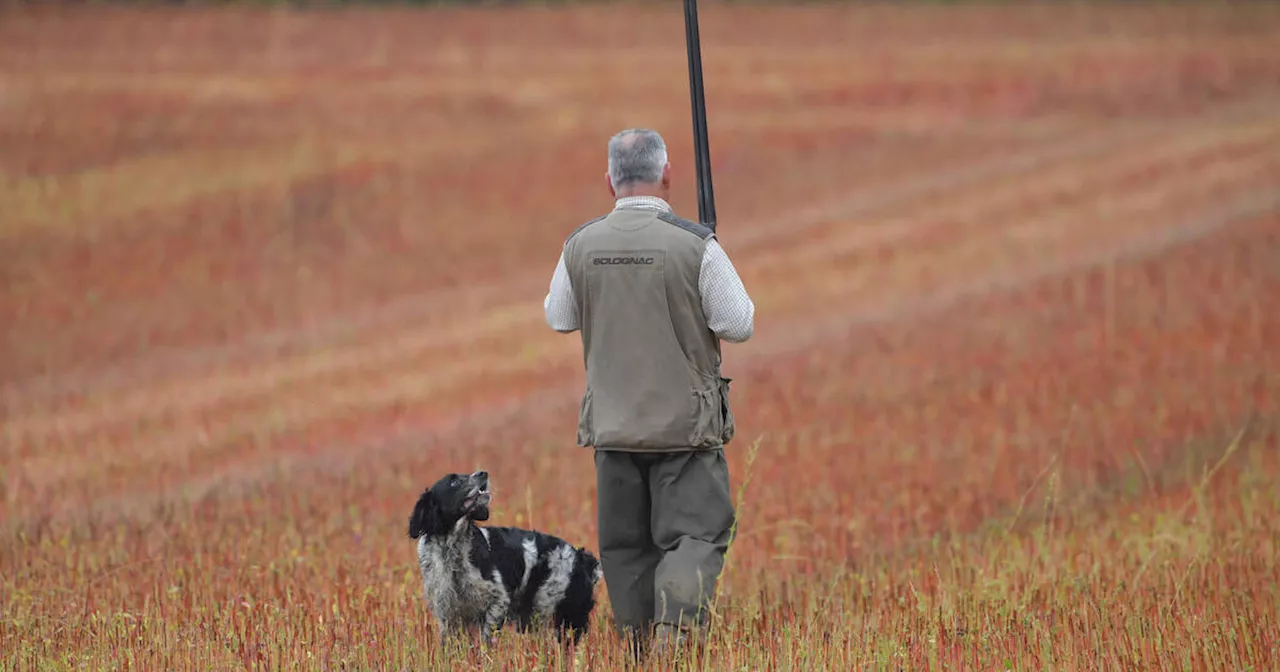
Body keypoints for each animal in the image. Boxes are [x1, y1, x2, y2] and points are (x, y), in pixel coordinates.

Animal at [409, 468, 604, 642]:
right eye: (454, 482)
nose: (483, 473)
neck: (452, 549)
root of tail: (581, 557)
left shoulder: (499, 600)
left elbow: (486, 639)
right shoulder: (446, 613)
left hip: (556, 614)